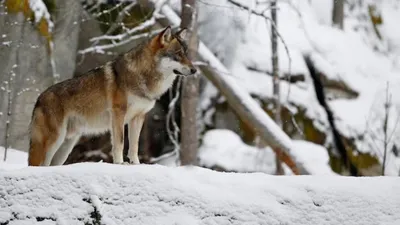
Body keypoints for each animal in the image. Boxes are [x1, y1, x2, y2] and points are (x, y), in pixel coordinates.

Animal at [27, 26, 197, 167]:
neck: (143, 76)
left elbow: (134, 145)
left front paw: (136, 164)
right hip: (53, 141)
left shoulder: (139, 117)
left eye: (186, 54)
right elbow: (120, 142)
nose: (194, 70)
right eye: (178, 54)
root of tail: (38, 99)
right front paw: (120, 163)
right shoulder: (118, 114)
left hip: (65, 146)